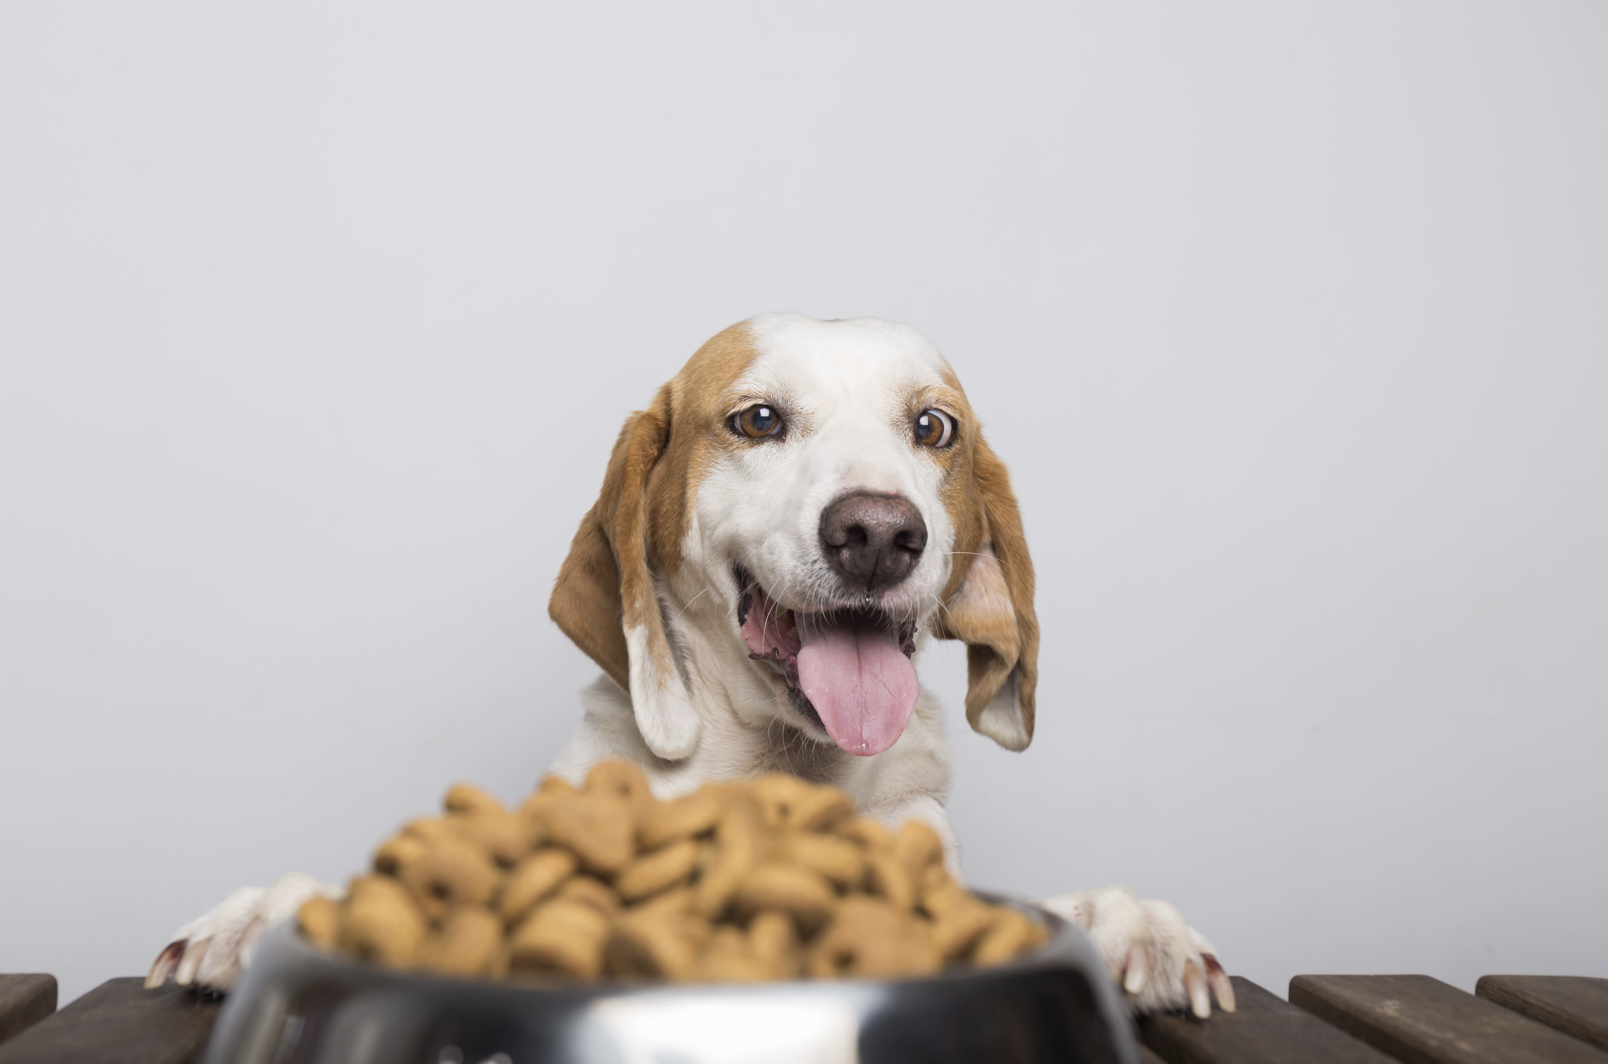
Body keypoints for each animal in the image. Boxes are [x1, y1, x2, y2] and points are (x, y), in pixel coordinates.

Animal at [147, 315, 1228, 1015]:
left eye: (933, 427)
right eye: (758, 419)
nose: (879, 532)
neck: (773, 769)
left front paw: (1134, 923)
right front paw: (259, 913)